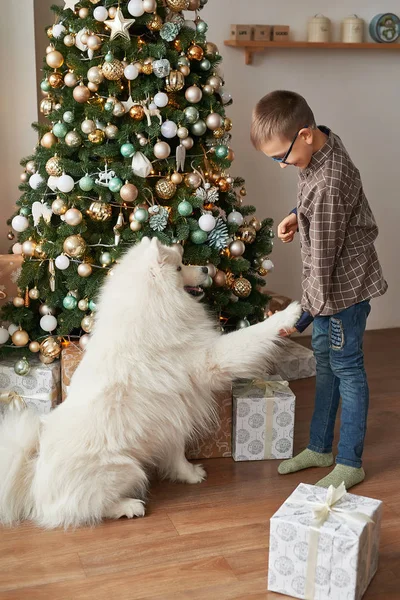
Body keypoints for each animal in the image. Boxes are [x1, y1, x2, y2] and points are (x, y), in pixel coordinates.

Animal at [0, 237, 300, 528]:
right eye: (179, 267)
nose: (206, 269)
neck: (154, 308)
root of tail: (34, 479)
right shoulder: (209, 360)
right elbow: (250, 336)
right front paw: (288, 315)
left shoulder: (170, 420)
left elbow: (177, 454)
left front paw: (189, 474)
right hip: (125, 469)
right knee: (79, 509)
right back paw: (128, 507)